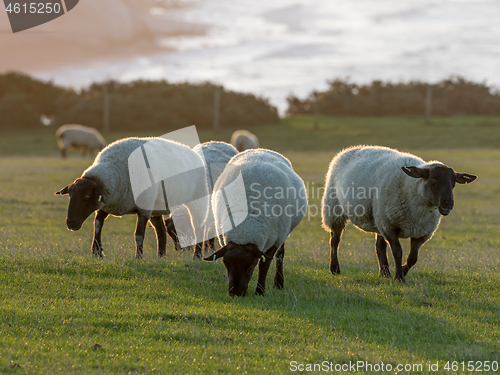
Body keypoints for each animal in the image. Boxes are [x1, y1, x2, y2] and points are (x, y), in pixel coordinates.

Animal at [54, 137, 209, 260]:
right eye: (70, 195)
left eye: (86, 195)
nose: (71, 223)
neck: (115, 171)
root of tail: (193, 152)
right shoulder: (107, 204)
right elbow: (97, 225)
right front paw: (97, 252)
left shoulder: (143, 208)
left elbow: (138, 234)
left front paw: (138, 257)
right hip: (156, 206)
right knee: (161, 231)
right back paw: (161, 256)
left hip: (198, 200)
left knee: (198, 228)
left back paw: (197, 256)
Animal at [204, 148, 306, 298]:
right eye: (225, 264)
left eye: (251, 266)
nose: (236, 293)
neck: (244, 227)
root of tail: (261, 149)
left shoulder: (274, 239)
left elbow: (264, 265)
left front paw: (259, 291)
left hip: (283, 231)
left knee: (280, 255)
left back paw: (278, 283)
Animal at [320, 147, 476, 282]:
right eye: (433, 179)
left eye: (454, 183)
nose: (448, 204)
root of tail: (348, 150)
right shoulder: (390, 227)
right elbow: (398, 252)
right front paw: (399, 277)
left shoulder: (422, 233)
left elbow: (413, 258)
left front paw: (401, 271)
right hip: (334, 209)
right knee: (335, 240)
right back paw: (335, 269)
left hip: (378, 218)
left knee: (379, 246)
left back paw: (384, 273)